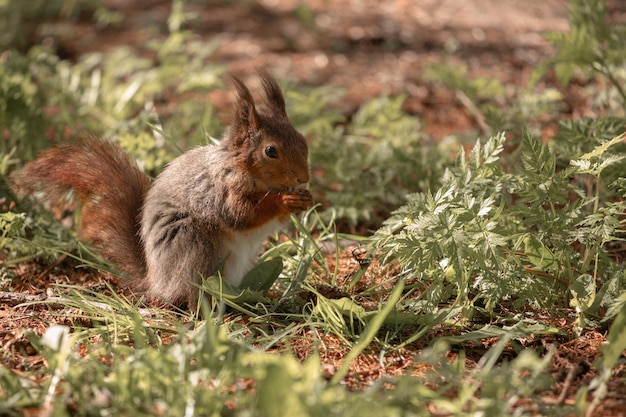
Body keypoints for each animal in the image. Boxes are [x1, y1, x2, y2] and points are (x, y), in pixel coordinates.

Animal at [13, 71, 316, 308]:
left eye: (303, 140)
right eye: (270, 151)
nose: (304, 177)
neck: (238, 167)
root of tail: (156, 281)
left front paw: (304, 199)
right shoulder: (219, 191)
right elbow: (241, 215)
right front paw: (284, 200)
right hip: (193, 242)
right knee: (190, 291)